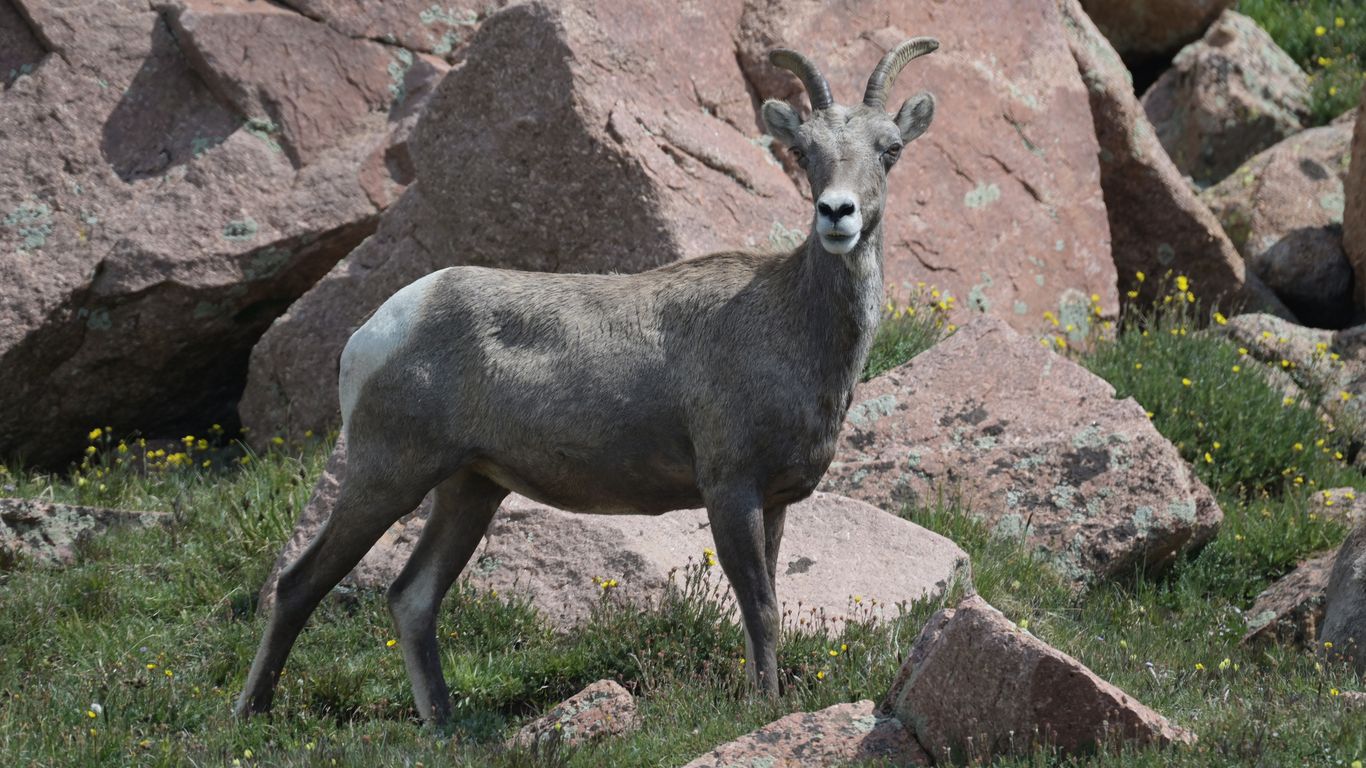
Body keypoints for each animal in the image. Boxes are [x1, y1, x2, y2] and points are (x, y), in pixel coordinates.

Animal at [236, 39, 939, 726]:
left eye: (890, 149)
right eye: (803, 151)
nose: (837, 214)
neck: (790, 326)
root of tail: (378, 329)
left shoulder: (773, 501)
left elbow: (765, 605)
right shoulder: (730, 489)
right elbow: (759, 608)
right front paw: (762, 711)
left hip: (470, 490)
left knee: (412, 597)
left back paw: (445, 728)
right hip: (388, 475)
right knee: (301, 584)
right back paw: (252, 714)